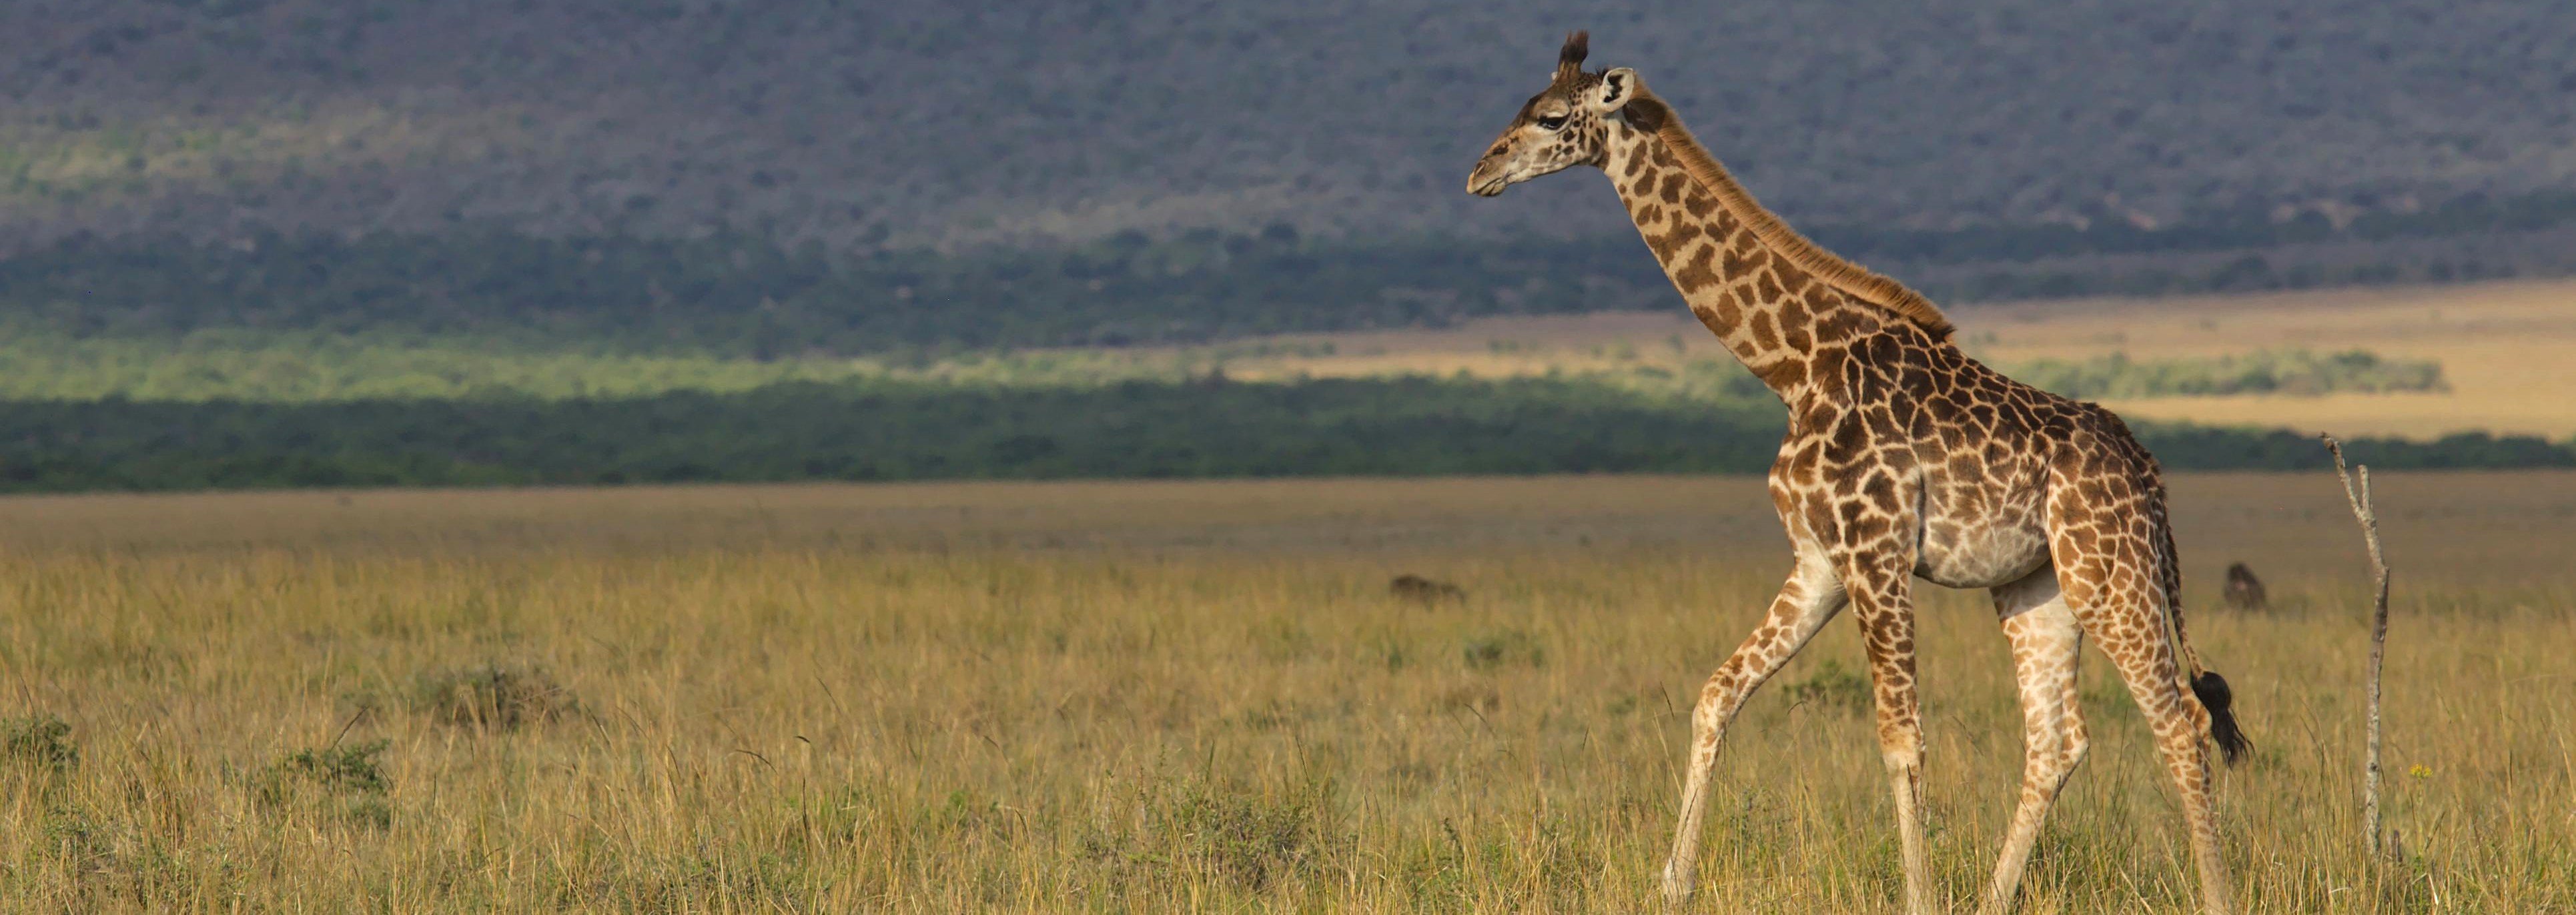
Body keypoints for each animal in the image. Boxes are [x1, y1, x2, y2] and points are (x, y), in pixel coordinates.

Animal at [1473, 32, 2256, 912]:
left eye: (1549, 117)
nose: (1479, 173)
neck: (1794, 364)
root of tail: (2150, 477)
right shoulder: (1820, 561)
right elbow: (1716, 695)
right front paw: (1672, 881)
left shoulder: (1876, 557)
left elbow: (1900, 740)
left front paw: (1917, 896)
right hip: (2036, 586)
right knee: (2058, 741)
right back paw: (1992, 899)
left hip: (2109, 575)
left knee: (2180, 722)